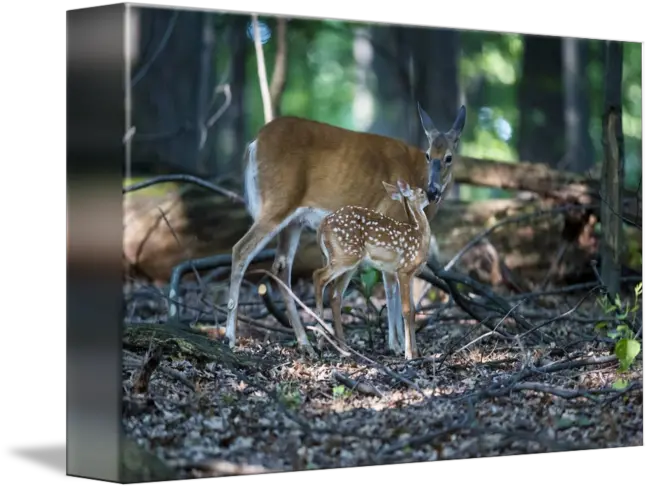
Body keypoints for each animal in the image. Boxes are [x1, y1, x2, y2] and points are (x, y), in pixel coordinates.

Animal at [316, 180, 432, 358]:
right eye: (421, 192)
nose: (431, 196)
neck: (419, 235)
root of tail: (322, 224)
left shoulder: (411, 274)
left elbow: (413, 310)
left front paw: (415, 352)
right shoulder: (403, 270)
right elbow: (406, 310)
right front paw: (408, 354)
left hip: (349, 262)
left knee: (335, 295)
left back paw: (343, 348)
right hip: (345, 255)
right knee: (318, 276)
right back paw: (320, 341)